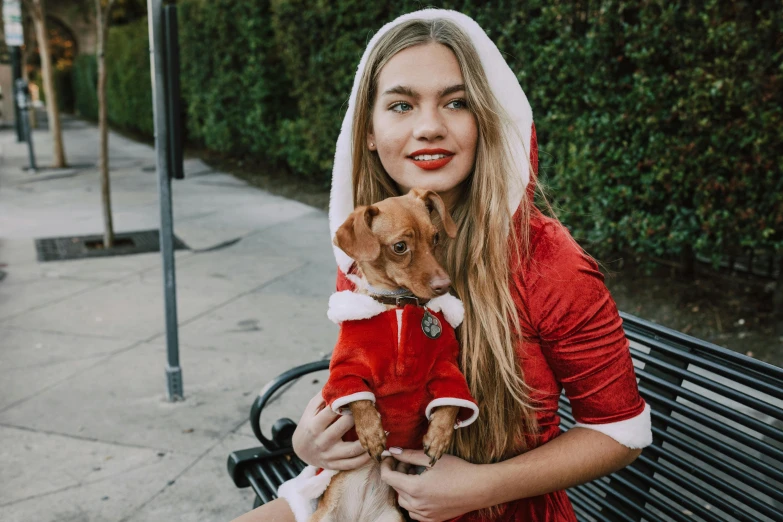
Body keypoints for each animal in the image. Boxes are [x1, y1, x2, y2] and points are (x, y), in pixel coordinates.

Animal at [310, 188, 466, 520]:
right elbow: (358, 399)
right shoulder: (345, 369)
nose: (445, 285)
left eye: (435, 237)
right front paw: (372, 432)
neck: (399, 306)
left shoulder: (446, 366)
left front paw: (439, 436)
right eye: (400, 247)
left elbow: (450, 402)